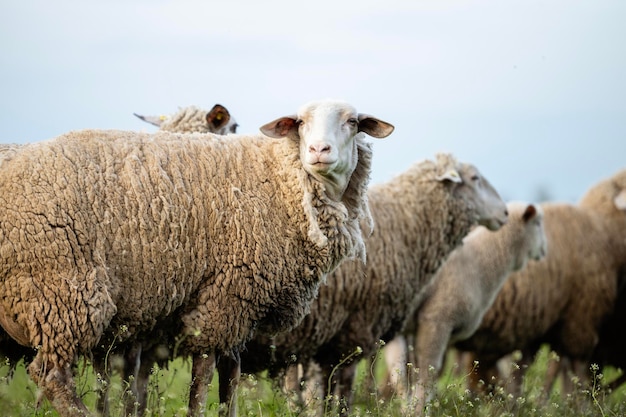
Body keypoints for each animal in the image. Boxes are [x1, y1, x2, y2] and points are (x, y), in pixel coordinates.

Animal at [0, 100, 392, 416]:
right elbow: (203, 376)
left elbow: (229, 374)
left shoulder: (236, 301)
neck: (280, 180)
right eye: (299, 122)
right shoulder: (225, 296)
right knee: (51, 375)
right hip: (62, 291)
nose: (318, 149)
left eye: (353, 122)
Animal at [229, 152, 508, 412]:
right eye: (474, 178)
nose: (505, 213)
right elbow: (340, 392)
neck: (404, 224)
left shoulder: (329, 335)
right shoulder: (352, 327)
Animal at [404, 200, 544, 412]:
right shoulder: (437, 319)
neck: (479, 261)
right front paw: (417, 409)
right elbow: (428, 371)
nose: (545, 250)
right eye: (537, 223)